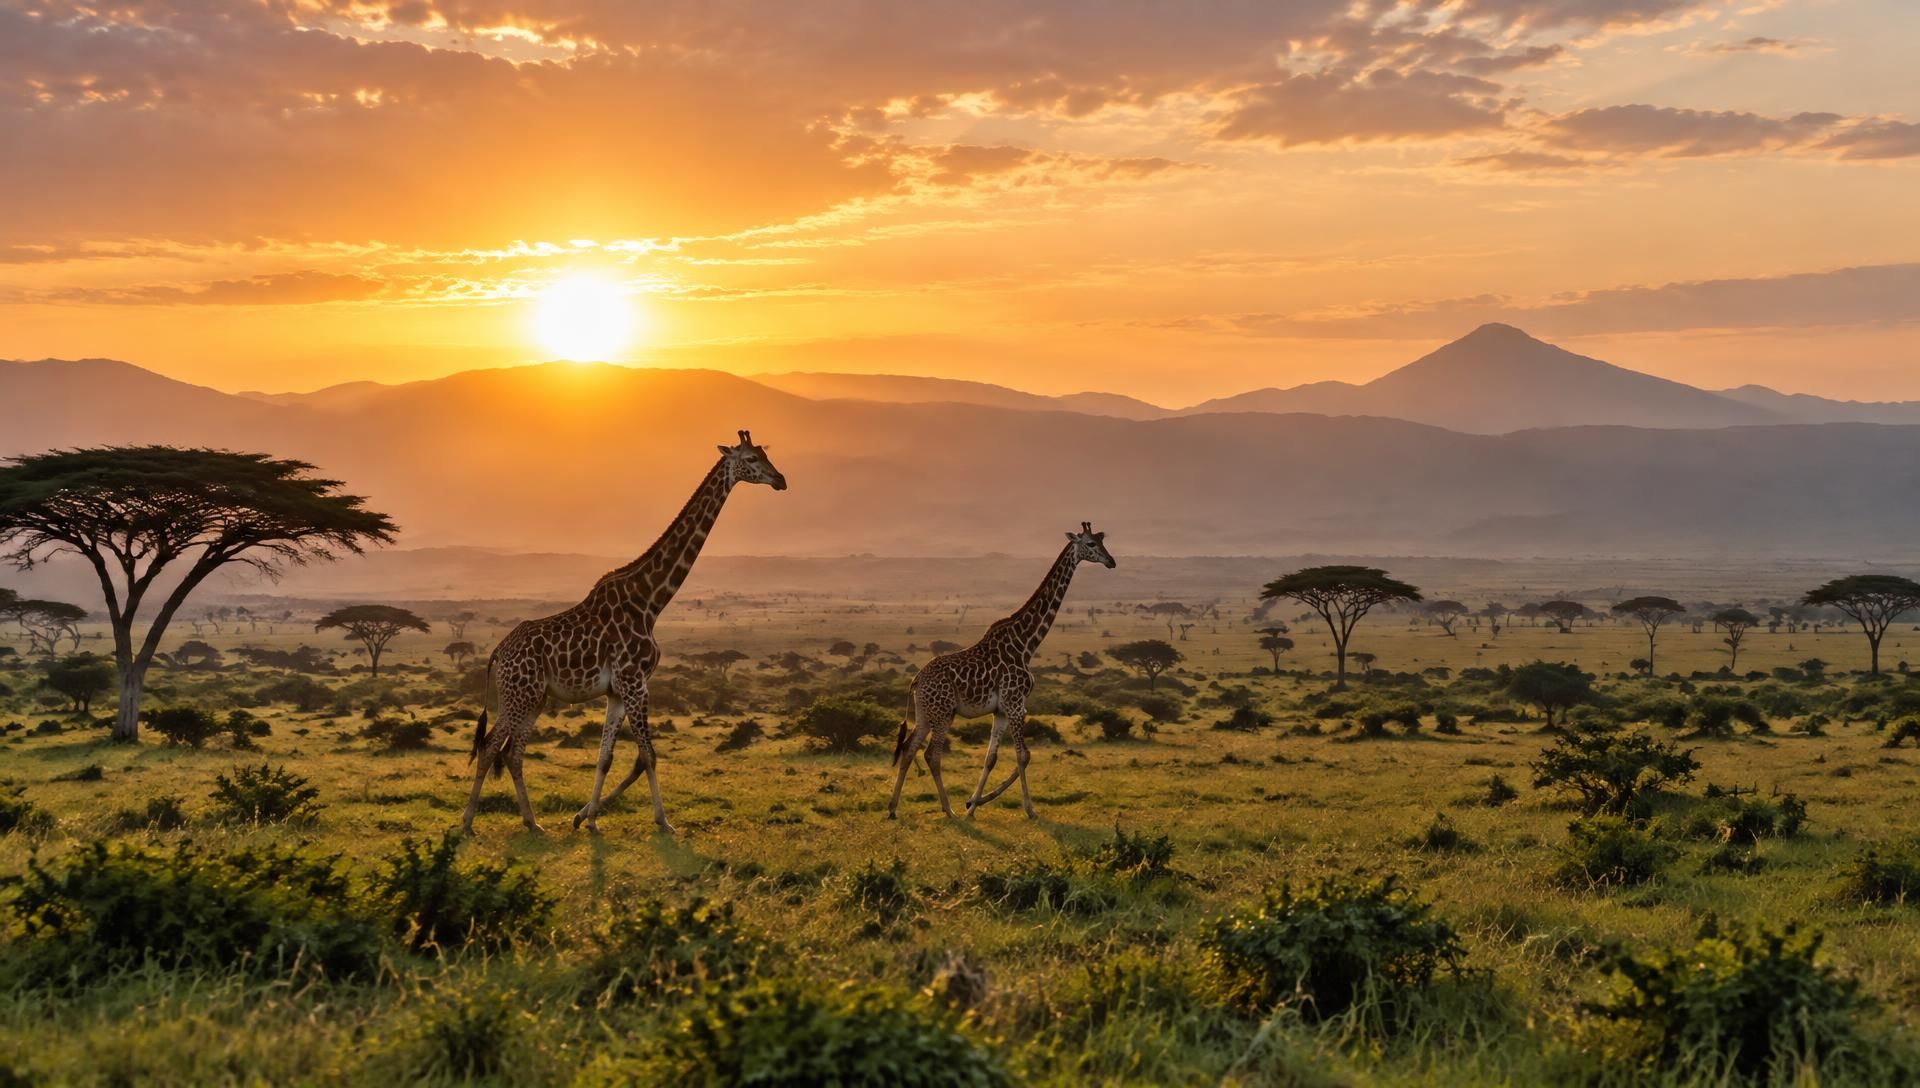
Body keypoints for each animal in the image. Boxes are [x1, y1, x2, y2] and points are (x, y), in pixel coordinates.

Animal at [460, 431, 787, 835]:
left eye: (764, 454)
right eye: (752, 459)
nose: (780, 480)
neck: (650, 600)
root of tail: (497, 653)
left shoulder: (617, 691)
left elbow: (607, 756)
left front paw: (587, 817)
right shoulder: (635, 682)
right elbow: (648, 755)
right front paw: (663, 821)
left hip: (535, 697)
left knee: (512, 751)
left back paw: (532, 823)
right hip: (518, 694)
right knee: (491, 746)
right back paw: (468, 822)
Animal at [886, 524, 1116, 820]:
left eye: (1102, 540)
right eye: (1090, 544)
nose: (1111, 562)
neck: (1026, 642)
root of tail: (915, 680)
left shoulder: (1002, 710)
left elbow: (991, 758)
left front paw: (973, 805)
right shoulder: (1016, 704)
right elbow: (1023, 755)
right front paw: (1028, 809)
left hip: (926, 713)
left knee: (909, 749)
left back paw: (893, 808)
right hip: (944, 713)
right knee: (931, 755)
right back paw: (948, 810)